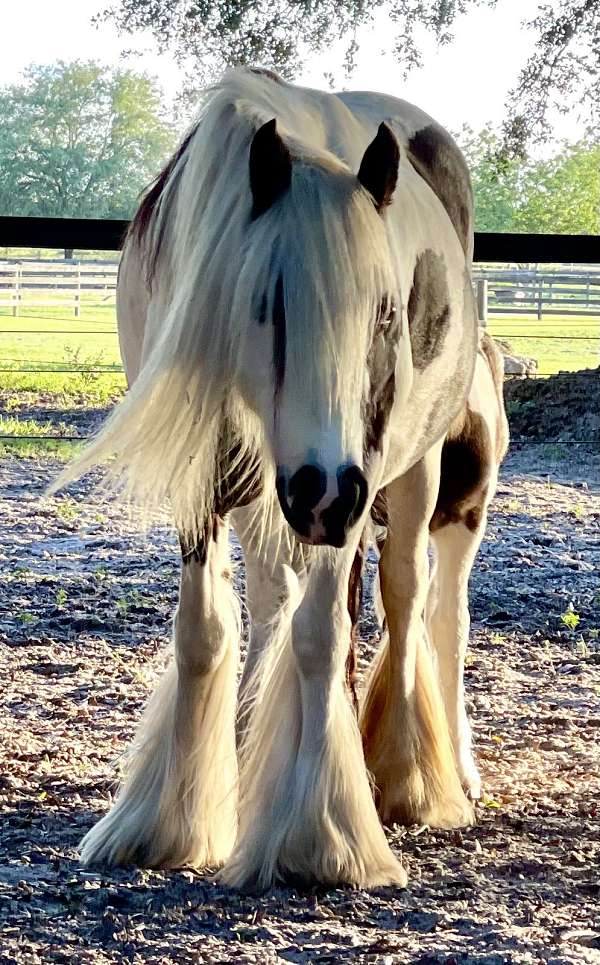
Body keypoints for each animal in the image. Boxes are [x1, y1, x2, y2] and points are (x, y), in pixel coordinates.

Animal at [54, 68, 508, 888]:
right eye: (266, 302)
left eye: (386, 313)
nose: (324, 490)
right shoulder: (206, 478)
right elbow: (205, 631)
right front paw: (167, 822)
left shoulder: (354, 488)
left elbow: (324, 634)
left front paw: (318, 836)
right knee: (276, 603)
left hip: (420, 480)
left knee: (416, 601)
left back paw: (416, 777)